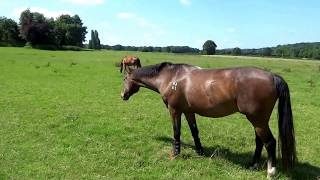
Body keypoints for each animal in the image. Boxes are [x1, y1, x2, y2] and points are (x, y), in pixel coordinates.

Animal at [121, 62, 296, 177]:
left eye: (124, 79)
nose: (123, 95)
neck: (171, 77)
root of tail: (272, 76)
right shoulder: (188, 111)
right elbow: (194, 131)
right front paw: (200, 152)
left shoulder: (175, 110)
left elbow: (176, 132)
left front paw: (176, 154)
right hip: (257, 121)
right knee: (259, 141)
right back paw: (253, 165)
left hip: (257, 120)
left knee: (270, 142)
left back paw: (270, 171)